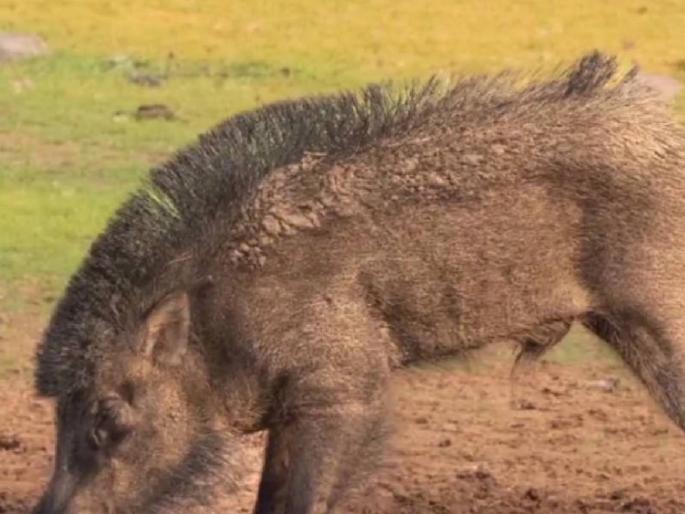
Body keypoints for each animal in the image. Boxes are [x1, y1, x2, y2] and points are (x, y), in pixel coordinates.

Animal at [33, 52, 685, 513]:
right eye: (60, 415)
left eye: (110, 420)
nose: (49, 510)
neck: (218, 320)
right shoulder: (291, 405)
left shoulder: (344, 385)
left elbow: (304, 498)